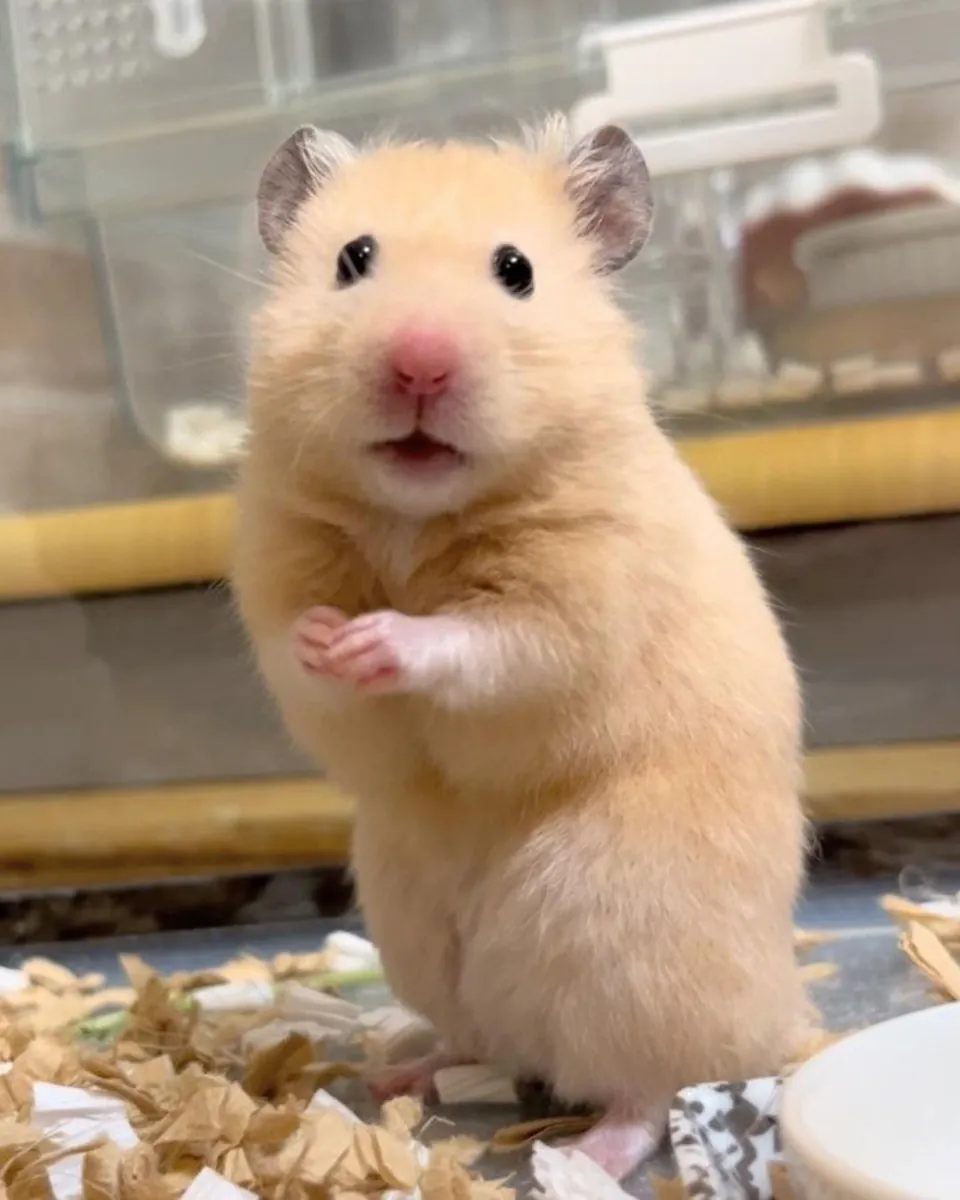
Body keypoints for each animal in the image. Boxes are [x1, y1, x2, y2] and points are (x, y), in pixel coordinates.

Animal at [233, 118, 808, 1181]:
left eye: (516, 271)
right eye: (352, 260)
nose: (419, 363)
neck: (415, 517)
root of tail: (785, 1013)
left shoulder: (573, 604)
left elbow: (484, 641)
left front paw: (378, 640)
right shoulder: (272, 568)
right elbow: (293, 650)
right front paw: (329, 637)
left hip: (623, 949)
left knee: (649, 1087)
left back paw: (594, 1157)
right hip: (419, 932)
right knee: (486, 1043)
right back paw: (402, 1071)